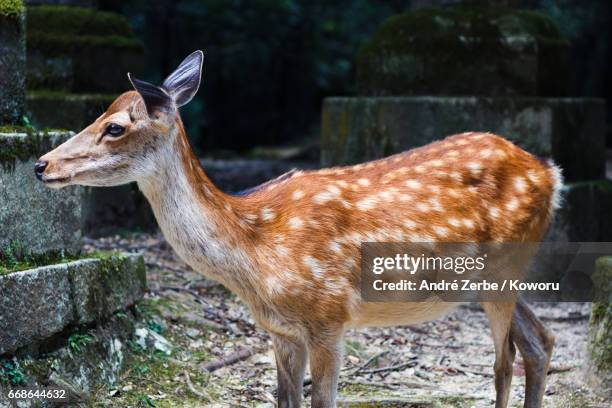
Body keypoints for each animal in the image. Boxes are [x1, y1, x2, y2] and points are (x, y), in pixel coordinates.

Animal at [37, 51, 564, 408]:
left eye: (115, 127)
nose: (42, 164)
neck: (254, 251)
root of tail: (550, 173)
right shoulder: (282, 330)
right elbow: (285, 399)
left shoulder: (330, 317)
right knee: (539, 342)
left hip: (504, 267)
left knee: (503, 362)